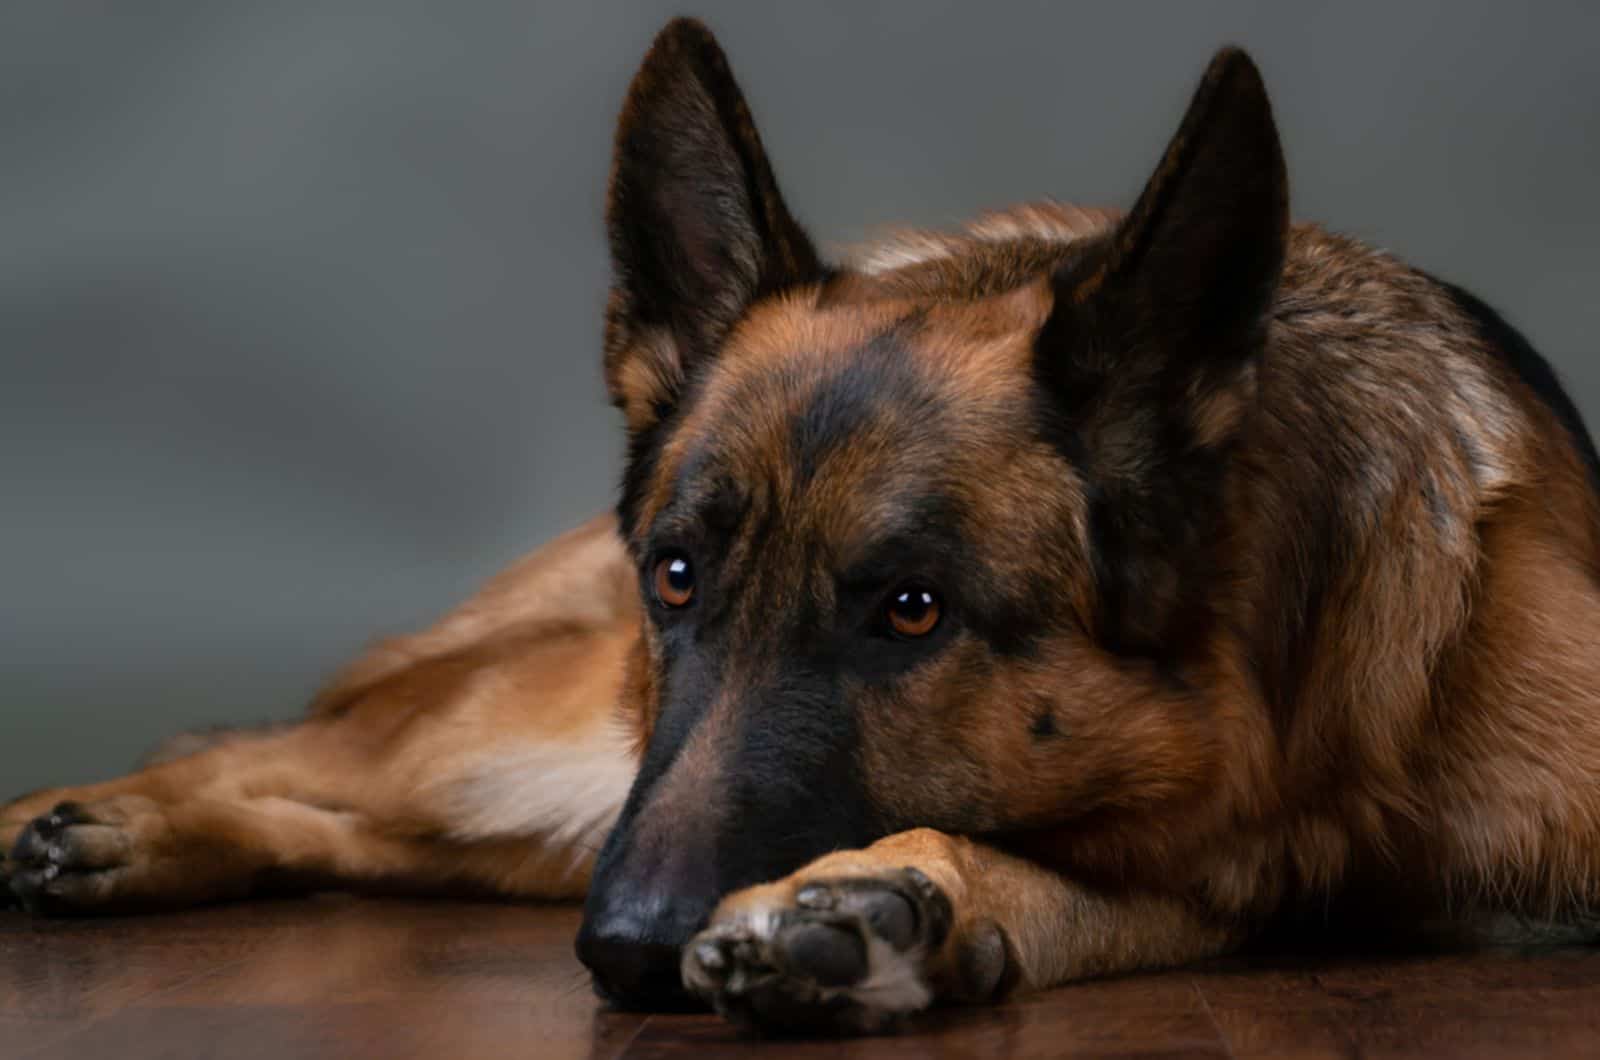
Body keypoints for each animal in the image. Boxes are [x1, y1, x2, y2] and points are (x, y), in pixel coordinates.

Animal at [3, 16, 1600, 1037]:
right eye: (676, 575)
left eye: (912, 609)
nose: (626, 954)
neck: (1301, 702)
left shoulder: (1246, 871)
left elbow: (1100, 886)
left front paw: (888, 908)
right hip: (555, 742)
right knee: (309, 746)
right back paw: (101, 817)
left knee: (390, 830)